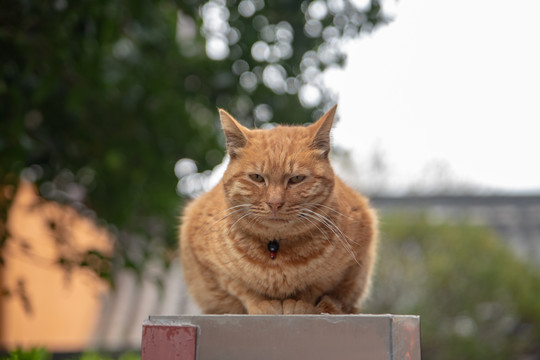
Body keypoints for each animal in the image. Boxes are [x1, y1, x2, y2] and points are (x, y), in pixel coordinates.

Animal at [179, 105, 378, 314]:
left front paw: (298, 303)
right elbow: (241, 288)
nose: (274, 203)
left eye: (296, 179)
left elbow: (316, 286)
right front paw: (262, 304)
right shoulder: (208, 263)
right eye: (257, 177)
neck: (275, 248)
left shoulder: (353, 259)